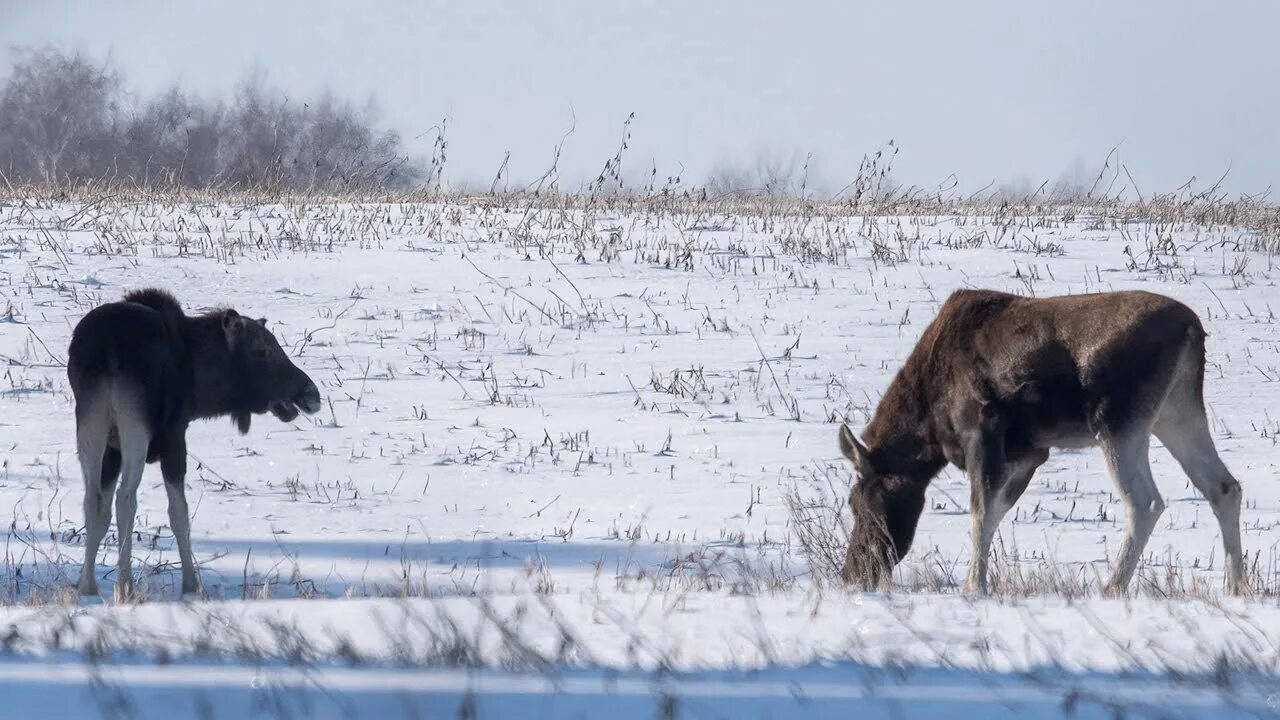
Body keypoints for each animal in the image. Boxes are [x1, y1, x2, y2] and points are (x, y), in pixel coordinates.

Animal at [67, 286, 322, 599]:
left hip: (90, 419)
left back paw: (89, 585)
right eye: (263, 350)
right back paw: (125, 586)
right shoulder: (175, 436)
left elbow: (101, 512)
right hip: (135, 422)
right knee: (126, 498)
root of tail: (107, 349)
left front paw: (86, 586)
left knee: (92, 499)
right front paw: (192, 584)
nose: (311, 393)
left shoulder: (112, 450)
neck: (198, 382)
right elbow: (180, 514)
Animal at [834, 285, 1244, 594]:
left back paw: (1112, 587)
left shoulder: (983, 431)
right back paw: (1236, 586)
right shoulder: (1032, 451)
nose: (854, 571)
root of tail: (1192, 330)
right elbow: (996, 511)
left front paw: (974, 587)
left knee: (1146, 502)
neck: (929, 433)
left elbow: (980, 513)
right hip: (1176, 412)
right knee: (1224, 486)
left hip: (1119, 421)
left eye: (858, 501)